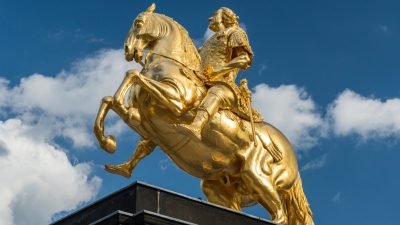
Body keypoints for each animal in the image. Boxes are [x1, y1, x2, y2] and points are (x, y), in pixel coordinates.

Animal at [93, 3, 312, 225]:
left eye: (138, 23)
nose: (128, 50)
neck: (171, 65)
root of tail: (291, 156)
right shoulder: (144, 122)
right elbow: (110, 101)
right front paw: (108, 142)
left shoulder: (176, 101)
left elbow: (133, 74)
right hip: (218, 186)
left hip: (257, 175)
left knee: (280, 215)